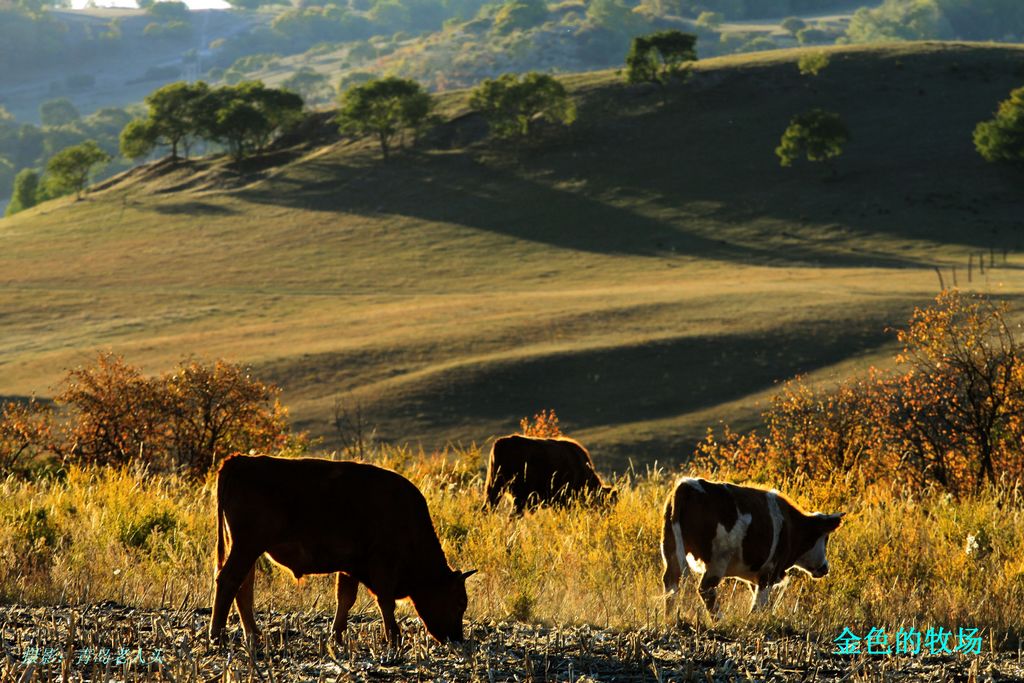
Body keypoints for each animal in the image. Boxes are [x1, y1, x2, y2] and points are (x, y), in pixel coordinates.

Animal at [210, 454, 479, 647]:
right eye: (459, 603)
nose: (456, 638)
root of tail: (239, 460)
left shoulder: (351, 567)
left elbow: (346, 599)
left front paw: (337, 636)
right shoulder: (382, 565)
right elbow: (385, 601)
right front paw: (394, 638)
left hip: (247, 550)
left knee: (243, 587)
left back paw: (253, 635)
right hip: (246, 547)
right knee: (228, 580)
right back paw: (218, 636)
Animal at [659, 481, 843, 618]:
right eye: (825, 539)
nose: (825, 568)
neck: (792, 527)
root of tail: (686, 485)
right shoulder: (769, 572)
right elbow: (760, 602)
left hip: (671, 548)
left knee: (671, 583)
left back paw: (669, 618)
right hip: (718, 560)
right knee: (706, 589)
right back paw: (719, 619)